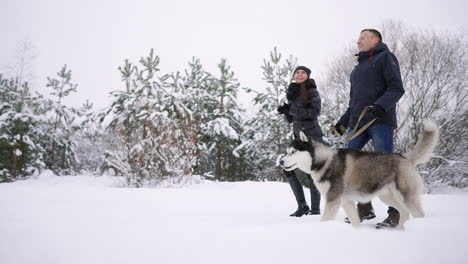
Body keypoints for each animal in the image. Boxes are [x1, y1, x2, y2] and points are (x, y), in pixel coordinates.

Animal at [282, 120, 438, 228]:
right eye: (287, 152)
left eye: (293, 152)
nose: (281, 161)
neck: (324, 161)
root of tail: (405, 157)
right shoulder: (346, 201)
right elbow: (354, 220)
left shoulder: (333, 200)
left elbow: (325, 219)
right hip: (387, 196)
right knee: (404, 212)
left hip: (406, 196)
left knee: (417, 213)